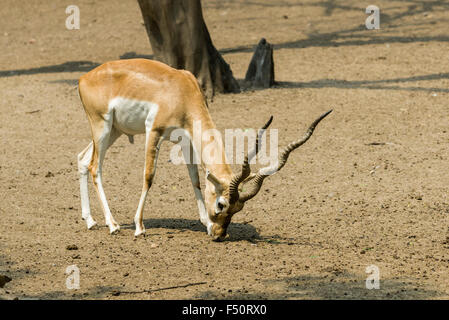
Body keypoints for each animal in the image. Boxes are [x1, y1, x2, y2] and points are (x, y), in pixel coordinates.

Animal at [76, 58, 328, 241]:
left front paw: (206, 223)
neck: (180, 91)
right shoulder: (153, 131)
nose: (219, 235)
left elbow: (196, 179)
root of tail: (83, 77)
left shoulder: (186, 140)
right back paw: (113, 225)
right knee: (94, 166)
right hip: (102, 126)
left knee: (82, 158)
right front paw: (139, 226)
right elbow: (149, 176)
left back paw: (90, 221)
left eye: (238, 209)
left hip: (114, 131)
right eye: (221, 204)